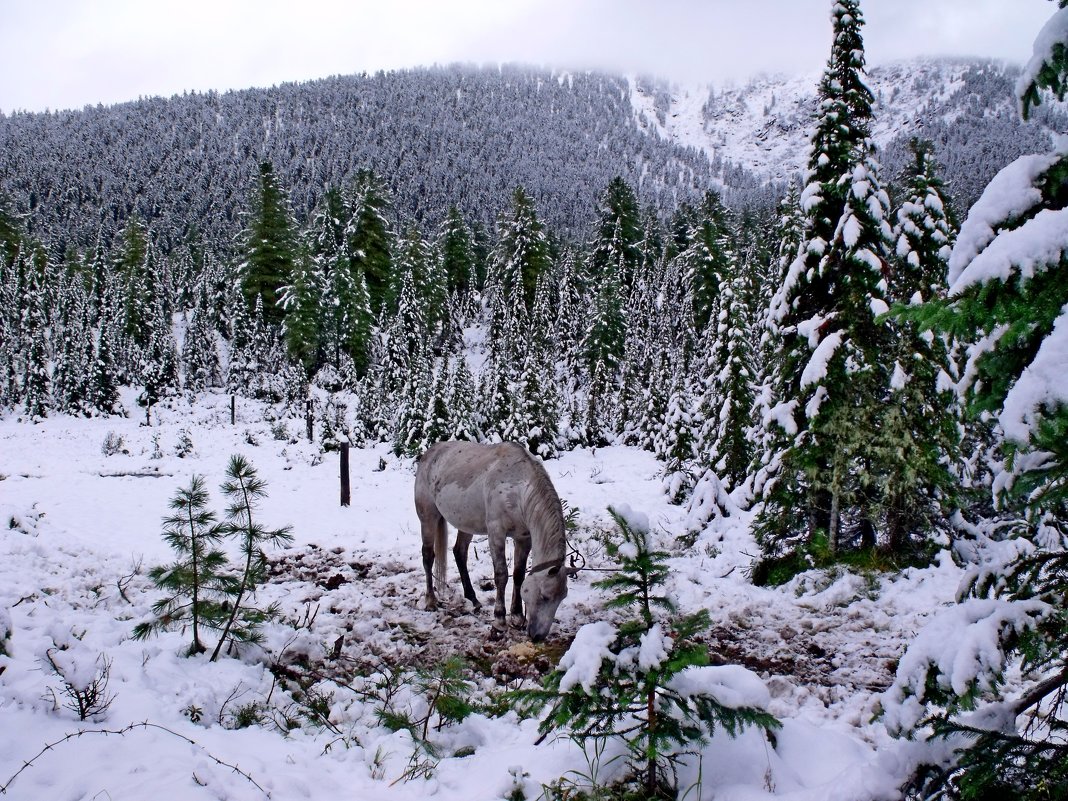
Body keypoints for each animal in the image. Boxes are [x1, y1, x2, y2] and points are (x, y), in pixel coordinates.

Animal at [412, 442, 572, 645]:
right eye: (544, 596)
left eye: (562, 598)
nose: (538, 636)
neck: (518, 490)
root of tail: (430, 453)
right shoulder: (496, 533)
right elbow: (501, 575)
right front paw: (499, 621)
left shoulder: (524, 538)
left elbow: (518, 574)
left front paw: (517, 617)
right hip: (428, 518)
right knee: (428, 557)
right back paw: (431, 601)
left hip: (467, 523)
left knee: (459, 553)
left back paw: (473, 599)